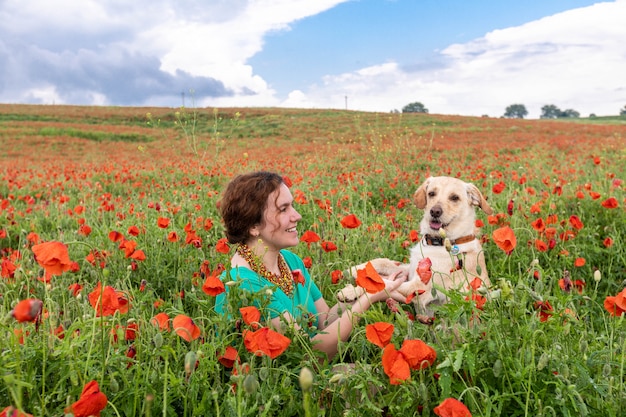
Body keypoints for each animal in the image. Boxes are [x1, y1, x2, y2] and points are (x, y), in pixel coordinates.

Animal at [336, 176, 492, 316]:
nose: (434, 211)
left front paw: (350, 290)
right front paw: (352, 270)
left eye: (455, 198)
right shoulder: (410, 269)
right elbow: (382, 261)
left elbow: (382, 283)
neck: (438, 242)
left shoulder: (419, 287)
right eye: (431, 193)